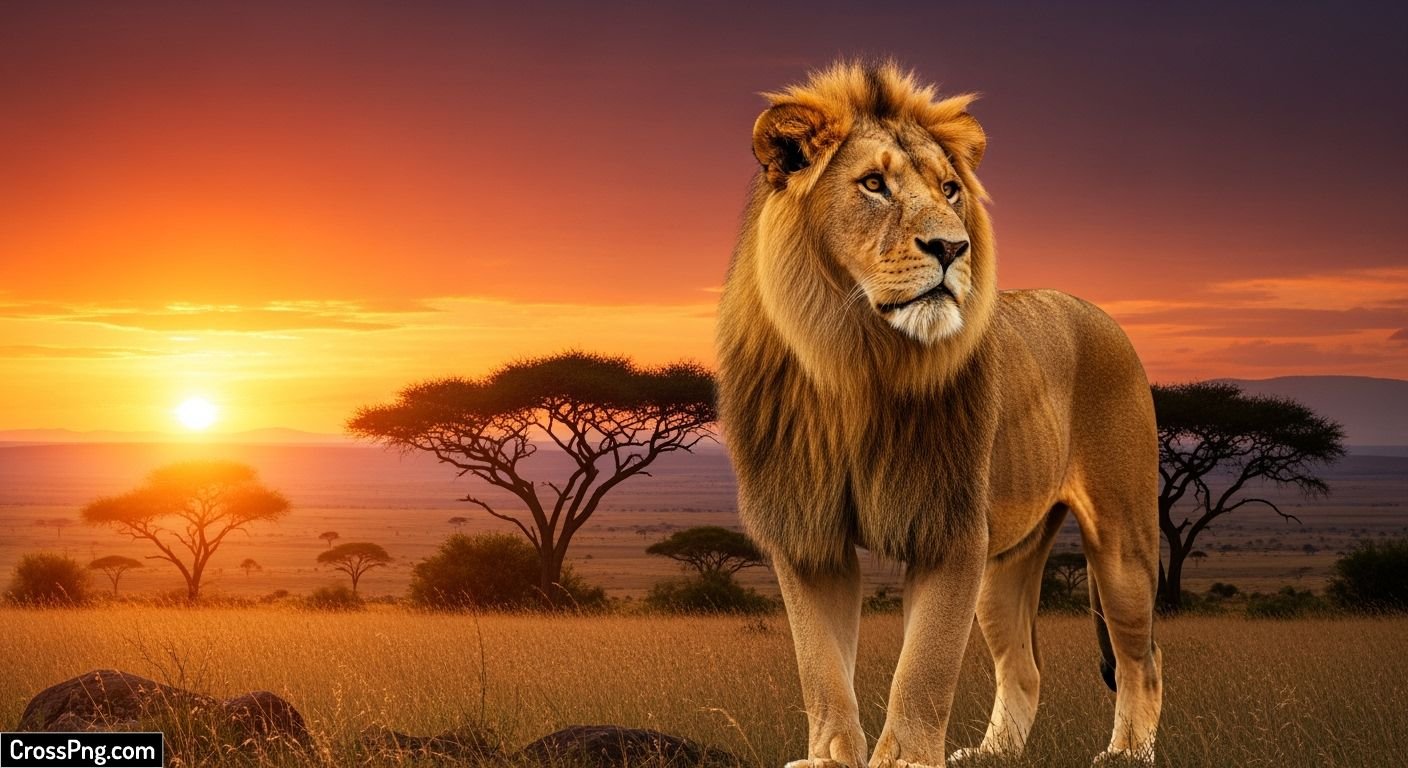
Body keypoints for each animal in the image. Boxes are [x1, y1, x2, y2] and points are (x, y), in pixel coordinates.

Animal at [715, 61, 1164, 767]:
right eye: (874, 184)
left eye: (951, 190)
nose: (953, 248)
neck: (855, 360)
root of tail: (1100, 313)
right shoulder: (807, 532)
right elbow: (821, 665)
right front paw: (831, 756)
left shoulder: (949, 527)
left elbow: (923, 666)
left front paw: (902, 759)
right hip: (1006, 563)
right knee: (1025, 667)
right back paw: (992, 755)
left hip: (1121, 537)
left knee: (1141, 658)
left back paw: (1126, 754)